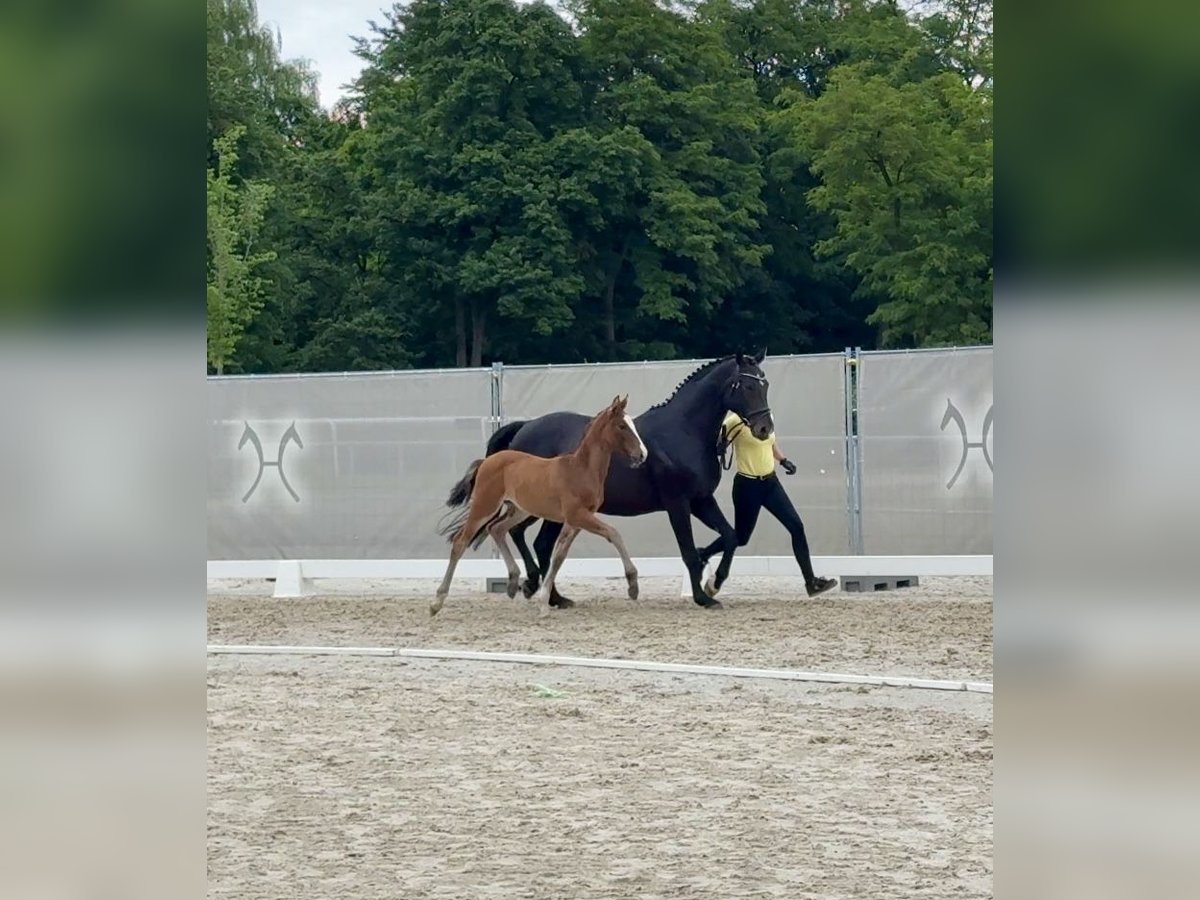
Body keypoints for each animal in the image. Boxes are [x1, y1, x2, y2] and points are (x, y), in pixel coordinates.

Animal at [434, 396, 648, 619]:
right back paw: (437, 602)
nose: (642, 454)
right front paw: (633, 585)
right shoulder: (578, 516)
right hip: (485, 507)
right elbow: (613, 534)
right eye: (622, 426)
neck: (580, 469)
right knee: (461, 541)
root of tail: (485, 462)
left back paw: (513, 582)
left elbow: (559, 555)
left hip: (519, 510)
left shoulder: (576, 521)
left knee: (498, 529)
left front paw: (545, 600)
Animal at [446, 350, 772, 607]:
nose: (764, 428)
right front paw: (703, 597)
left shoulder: (701, 500)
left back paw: (552, 596)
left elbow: (730, 536)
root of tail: (524, 429)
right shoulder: (678, 504)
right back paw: (537, 587)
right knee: (526, 538)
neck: (683, 432)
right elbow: (689, 551)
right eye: (745, 385)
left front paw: (713, 584)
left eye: (764, 383)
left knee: (534, 541)